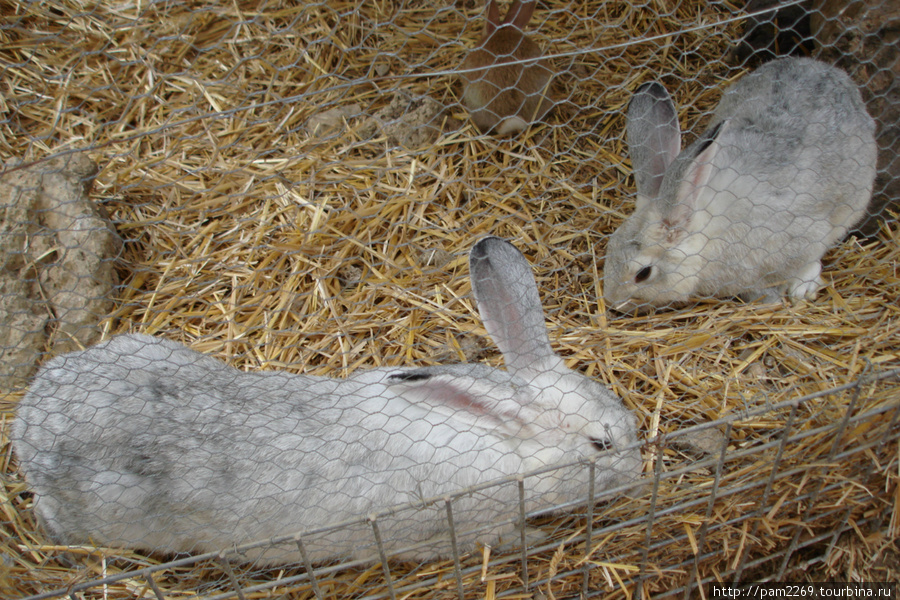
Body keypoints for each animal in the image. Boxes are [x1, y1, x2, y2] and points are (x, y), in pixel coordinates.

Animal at [15, 237, 648, 564]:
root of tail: (30, 418)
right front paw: (540, 539)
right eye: (600, 444)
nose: (640, 474)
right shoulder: (461, 531)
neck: (502, 439)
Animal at [600, 57, 876, 314]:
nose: (612, 300)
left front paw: (788, 293)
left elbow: (808, 262)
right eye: (610, 246)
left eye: (643, 273)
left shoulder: (806, 239)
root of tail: (830, 70)